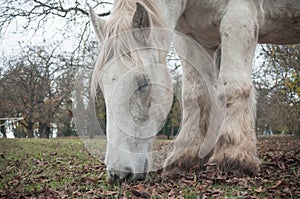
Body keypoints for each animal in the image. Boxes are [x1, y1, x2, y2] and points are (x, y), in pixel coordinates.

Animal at [90, 0, 300, 182]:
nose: (118, 173)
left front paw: (234, 156)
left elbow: (234, 85)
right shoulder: (191, 37)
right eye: (101, 86)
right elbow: (197, 95)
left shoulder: (239, 18)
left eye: (143, 83)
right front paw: (186, 157)